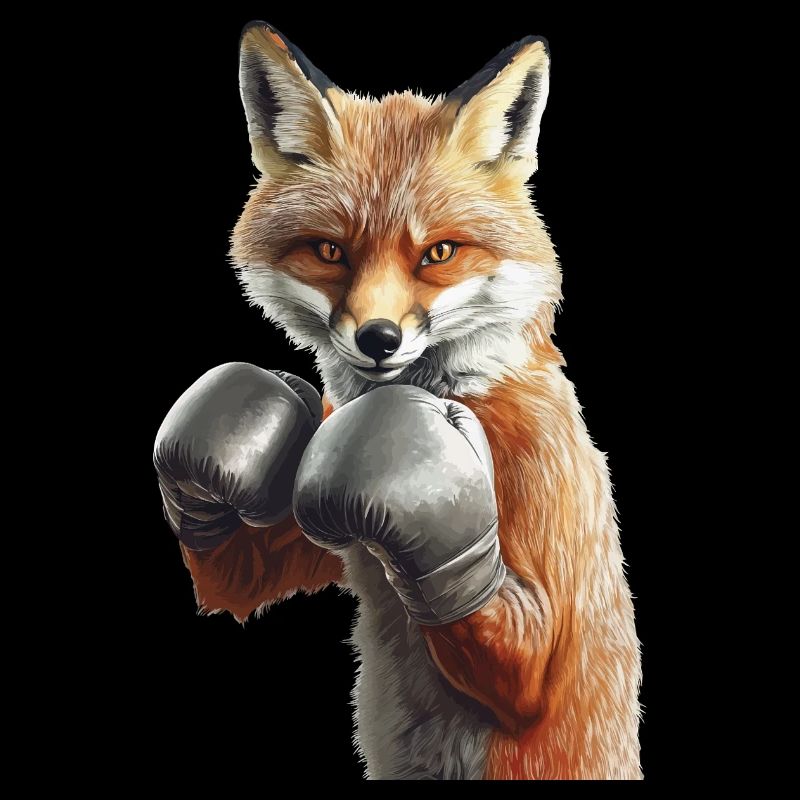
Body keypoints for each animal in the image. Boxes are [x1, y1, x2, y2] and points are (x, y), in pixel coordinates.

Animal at [176, 21, 642, 780]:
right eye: (330, 252)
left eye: (438, 253)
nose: (378, 338)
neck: (441, 401)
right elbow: (238, 581)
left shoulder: (545, 524)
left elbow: (519, 651)